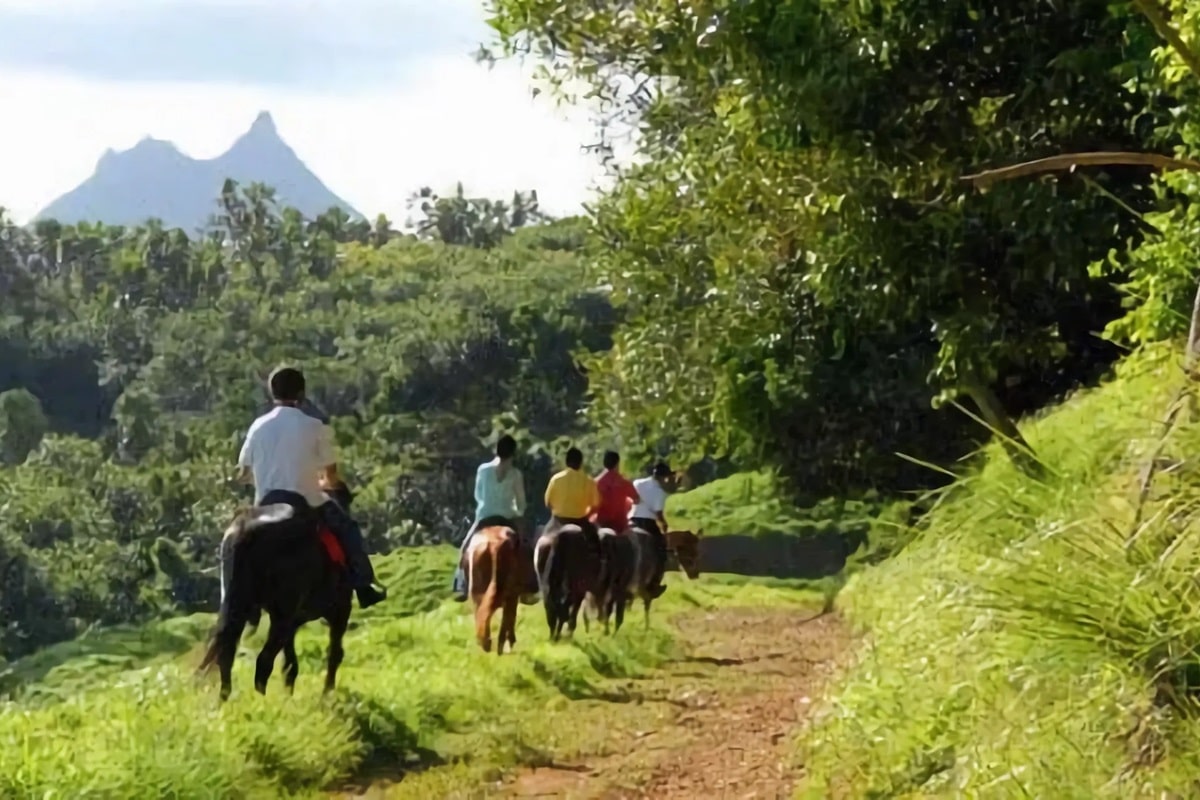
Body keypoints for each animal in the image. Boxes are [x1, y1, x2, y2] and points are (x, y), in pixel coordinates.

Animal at [196, 482, 352, 700]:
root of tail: (245, 530)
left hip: (236, 602)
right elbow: (334, 653)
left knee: (226, 653)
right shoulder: (340, 609)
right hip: (283, 612)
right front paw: (327, 695)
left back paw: (225, 701)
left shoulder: (294, 621)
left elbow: (290, 664)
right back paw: (263, 701)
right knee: (263, 660)